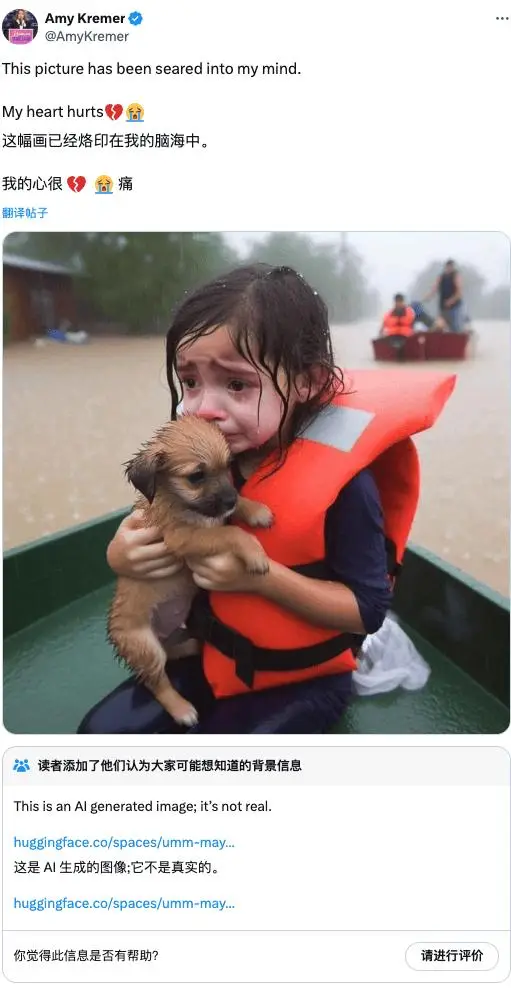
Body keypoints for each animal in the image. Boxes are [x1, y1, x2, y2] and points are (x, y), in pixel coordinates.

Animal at [107, 414, 274, 724]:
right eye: (196, 476)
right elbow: (229, 533)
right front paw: (255, 553)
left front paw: (255, 510)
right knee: (156, 681)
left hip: (174, 640)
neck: (177, 500)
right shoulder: (183, 537)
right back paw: (182, 709)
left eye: (228, 465)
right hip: (145, 647)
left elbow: (229, 516)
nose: (230, 499)